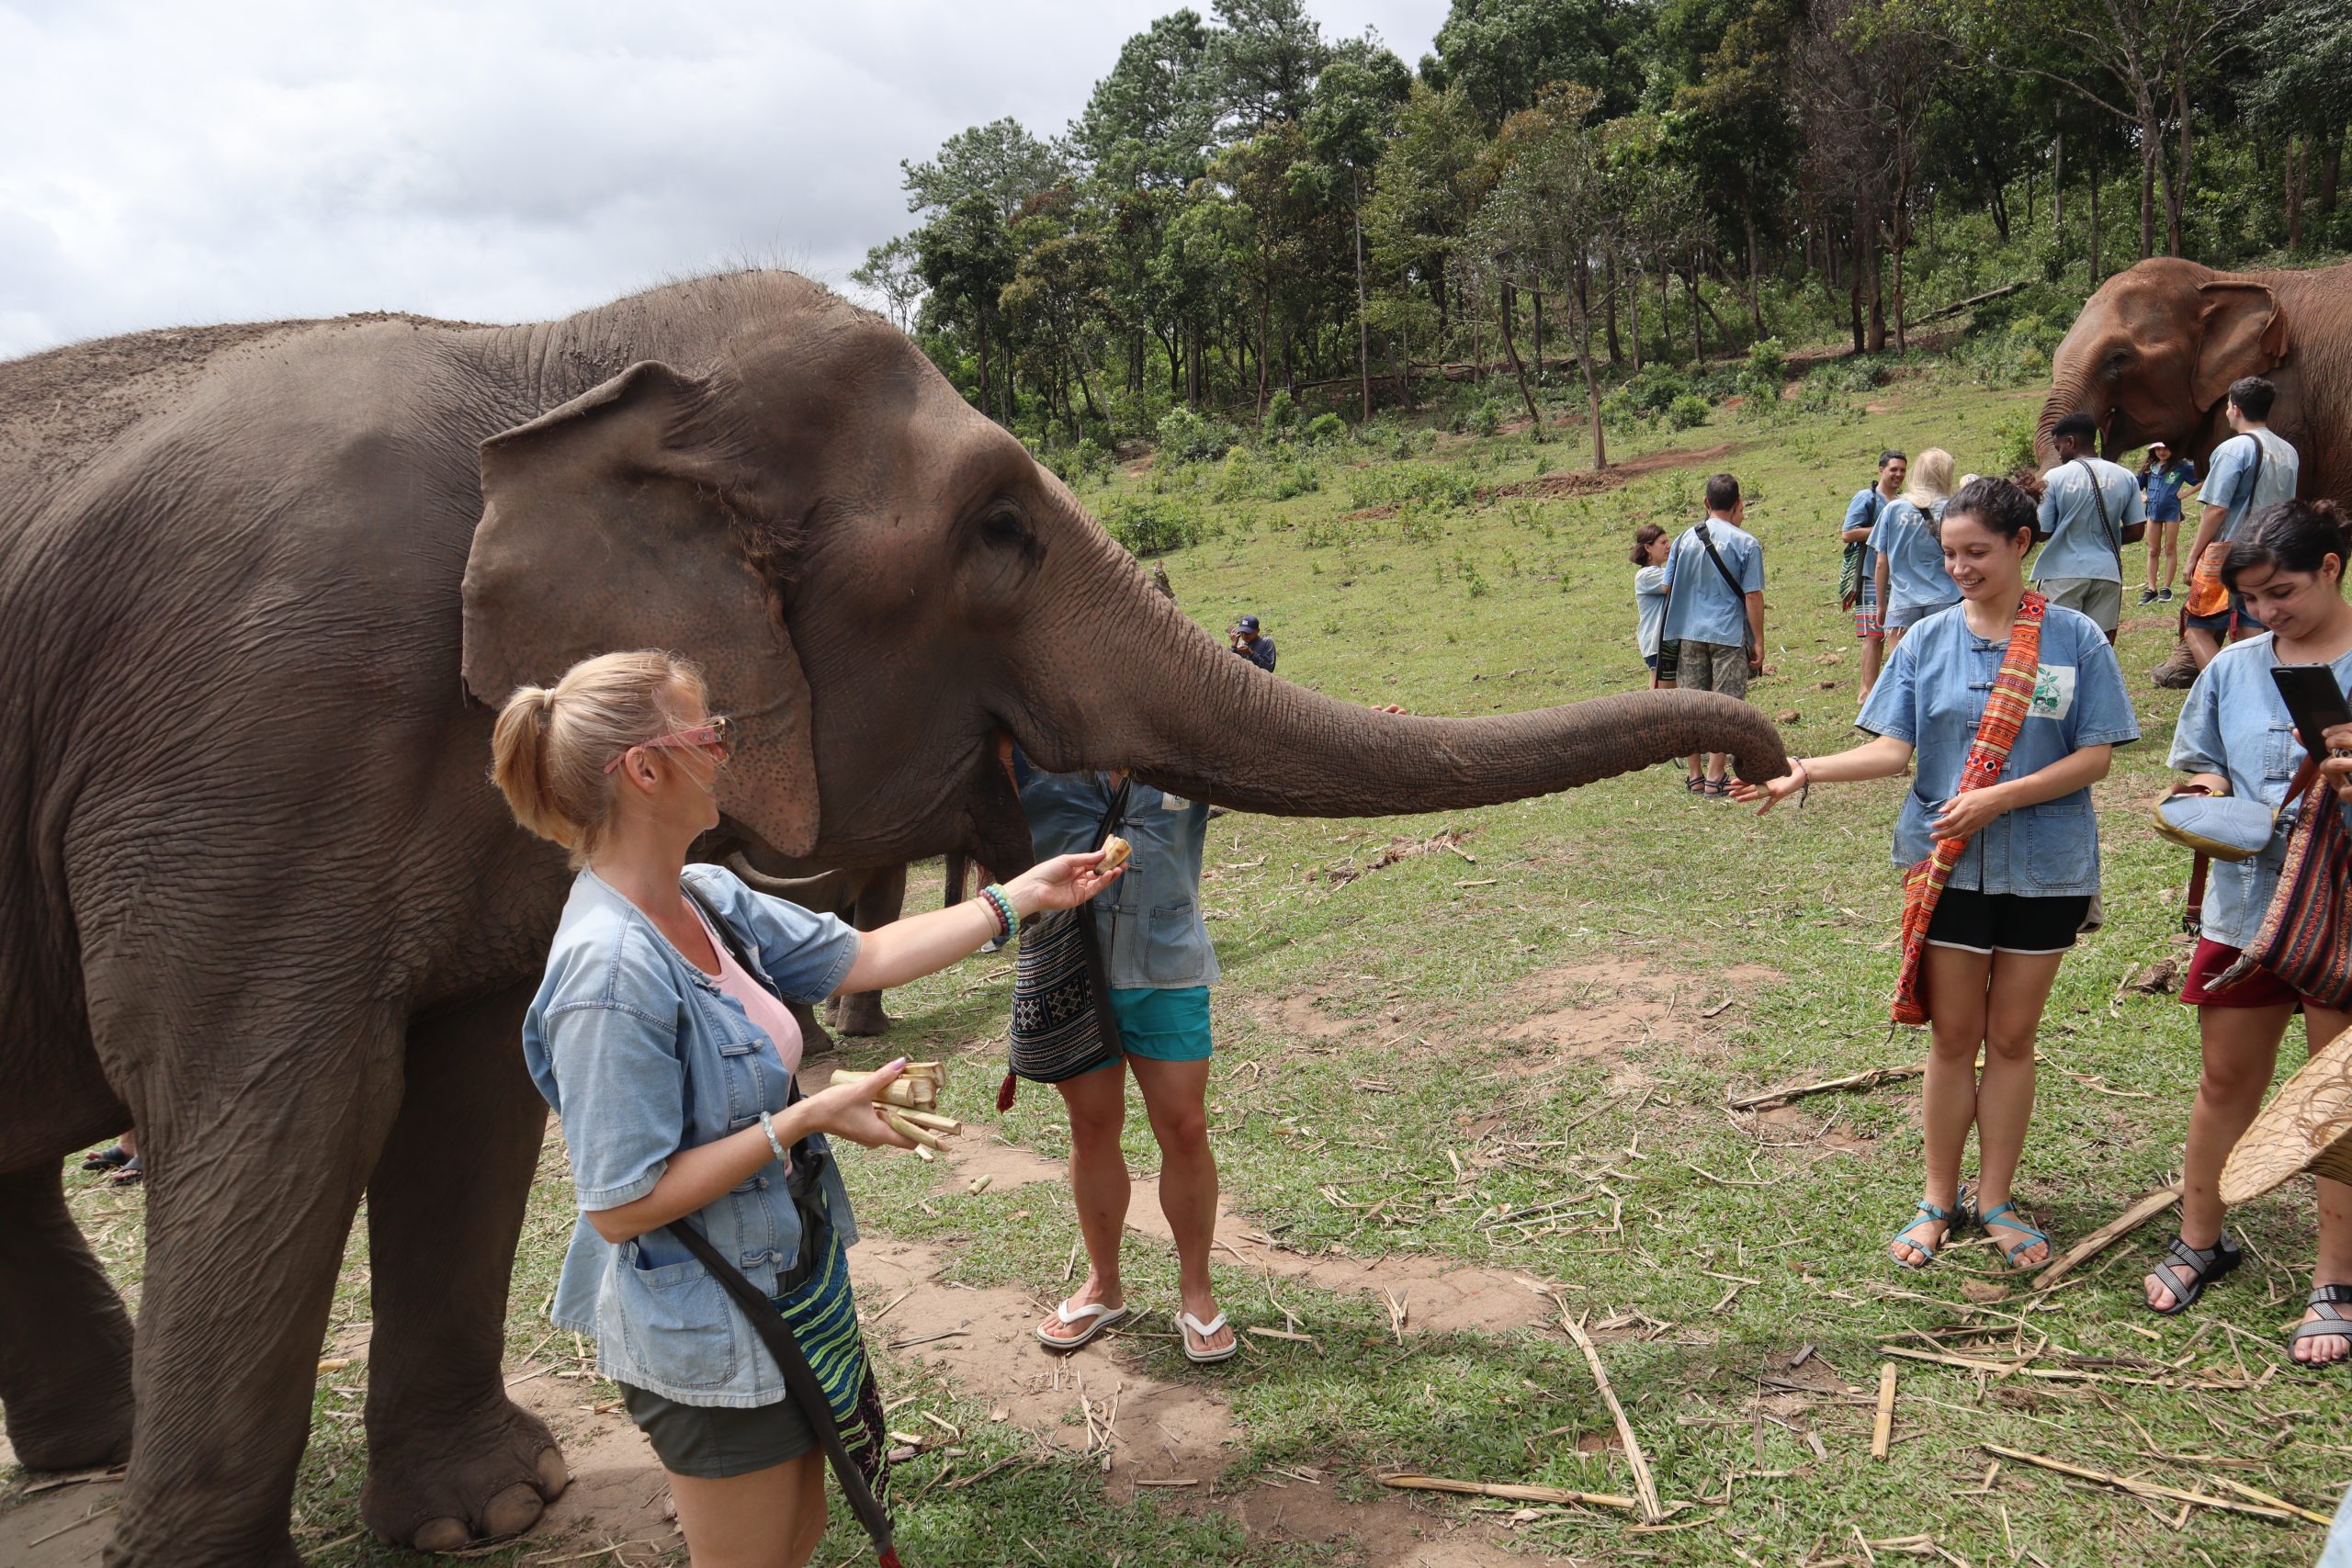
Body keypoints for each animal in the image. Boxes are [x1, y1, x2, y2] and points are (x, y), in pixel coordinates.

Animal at [0, 270, 1778, 1568]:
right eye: (998, 525)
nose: (1761, 758)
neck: (542, 355)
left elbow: (466, 1106)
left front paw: (495, 1510)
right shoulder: (248, 738)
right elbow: (284, 1109)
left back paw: (96, 1442)